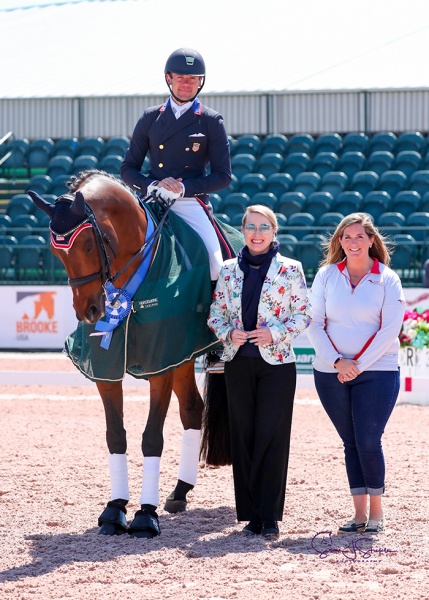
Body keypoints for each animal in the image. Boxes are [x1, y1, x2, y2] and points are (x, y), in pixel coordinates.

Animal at [28, 169, 232, 540]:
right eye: (55, 250)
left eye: (90, 243)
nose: (89, 311)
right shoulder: (105, 367)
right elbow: (115, 436)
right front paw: (114, 510)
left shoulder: (160, 362)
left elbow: (151, 439)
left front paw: (145, 516)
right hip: (182, 356)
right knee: (192, 410)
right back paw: (180, 492)